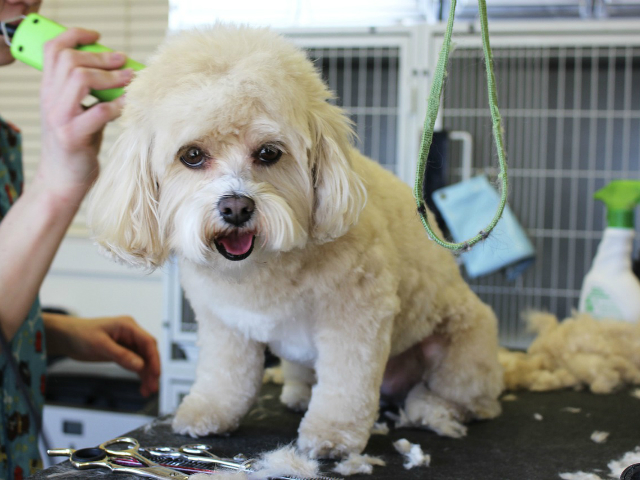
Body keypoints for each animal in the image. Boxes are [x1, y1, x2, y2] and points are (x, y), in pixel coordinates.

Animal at [86, 24, 504, 460]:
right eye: (192, 155)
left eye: (269, 153)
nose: (236, 207)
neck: (260, 268)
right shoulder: (223, 322)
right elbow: (225, 375)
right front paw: (208, 411)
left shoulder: (357, 316)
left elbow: (346, 384)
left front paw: (333, 434)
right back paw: (300, 392)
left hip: (461, 349)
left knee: (471, 399)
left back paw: (432, 408)